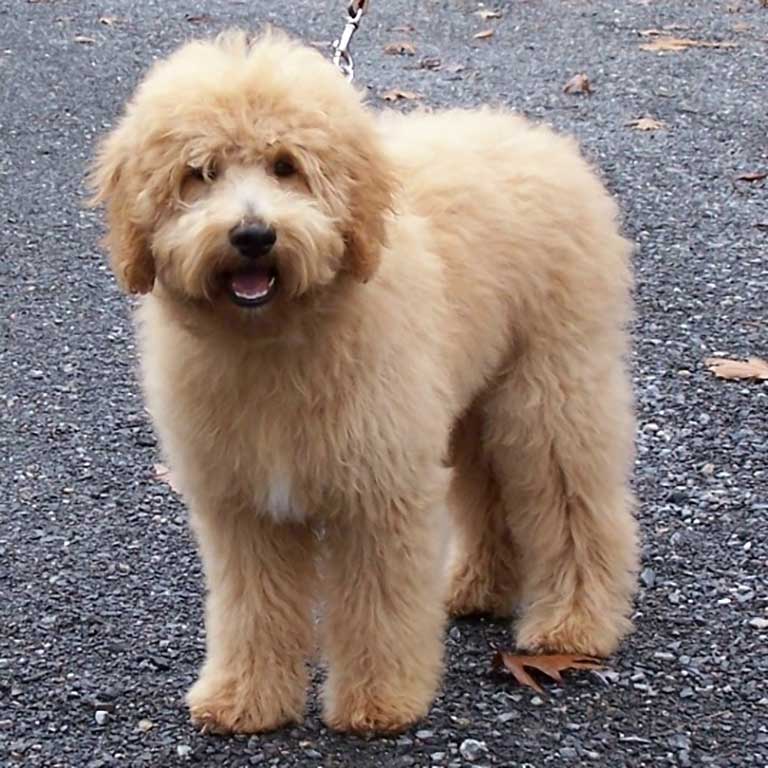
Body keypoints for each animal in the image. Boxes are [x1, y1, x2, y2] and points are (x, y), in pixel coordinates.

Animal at [90, 30, 640, 736]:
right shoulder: (245, 505)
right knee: (487, 492)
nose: (252, 235)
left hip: (550, 392)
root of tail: (538, 139)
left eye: (286, 165)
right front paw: (245, 698)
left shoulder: (380, 491)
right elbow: (252, 607)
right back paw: (476, 588)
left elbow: (377, 605)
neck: (277, 343)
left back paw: (573, 624)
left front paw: (379, 703)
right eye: (200, 172)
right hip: (466, 404)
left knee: (575, 503)